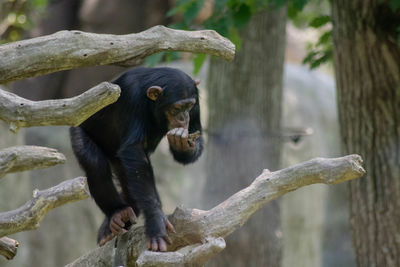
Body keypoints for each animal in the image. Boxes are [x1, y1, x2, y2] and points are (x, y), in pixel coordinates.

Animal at [69, 67, 205, 251]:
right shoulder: (131, 98)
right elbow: (134, 149)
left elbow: (197, 134)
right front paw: (156, 221)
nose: (184, 118)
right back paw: (117, 212)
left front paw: (182, 143)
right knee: (95, 164)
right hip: (78, 128)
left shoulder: (196, 102)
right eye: (176, 108)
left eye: (189, 106)